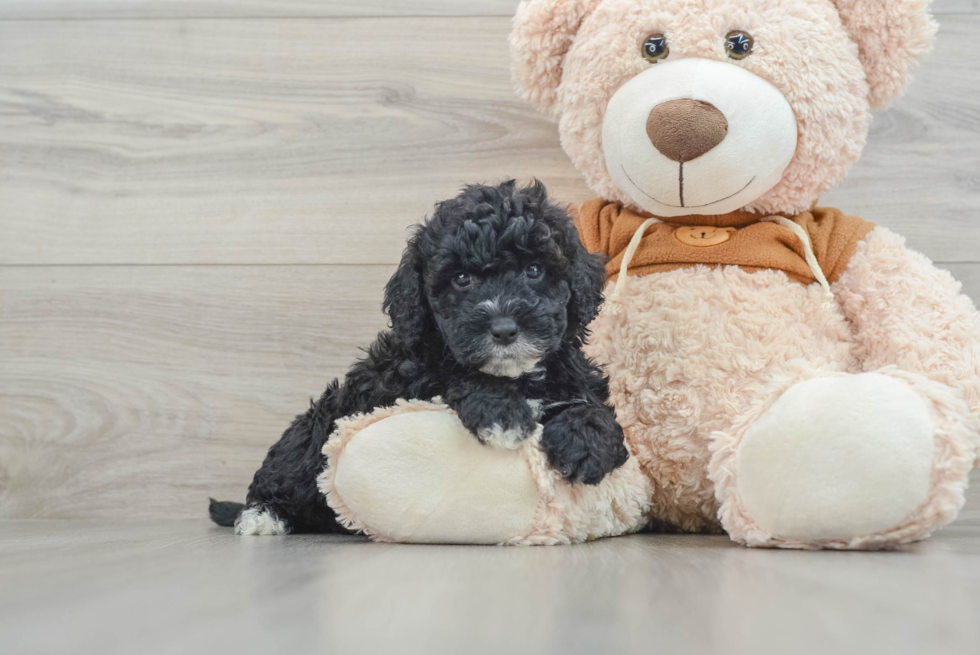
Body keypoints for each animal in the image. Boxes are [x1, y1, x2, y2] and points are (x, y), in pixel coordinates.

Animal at [211, 178, 632, 532]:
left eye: (533, 269)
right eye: (461, 279)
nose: (503, 329)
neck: (516, 374)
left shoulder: (574, 378)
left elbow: (594, 408)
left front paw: (585, 443)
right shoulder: (406, 381)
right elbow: (456, 375)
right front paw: (503, 414)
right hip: (313, 433)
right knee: (281, 474)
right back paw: (261, 517)